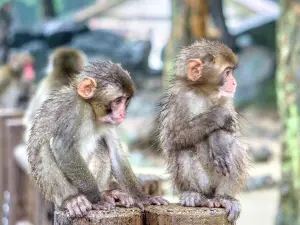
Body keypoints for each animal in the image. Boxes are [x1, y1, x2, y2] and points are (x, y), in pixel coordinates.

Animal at [27, 60, 169, 217]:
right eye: (118, 101)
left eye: (125, 101)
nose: (122, 114)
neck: (91, 110)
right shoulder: (74, 109)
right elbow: (62, 147)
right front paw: (96, 201)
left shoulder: (108, 122)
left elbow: (115, 153)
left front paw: (142, 197)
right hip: (54, 192)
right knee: (44, 149)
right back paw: (72, 199)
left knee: (102, 146)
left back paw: (106, 193)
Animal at [157, 39, 248, 222]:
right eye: (227, 72)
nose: (234, 82)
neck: (203, 92)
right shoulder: (180, 99)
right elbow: (172, 138)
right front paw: (218, 116)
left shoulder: (227, 99)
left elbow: (231, 132)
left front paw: (218, 142)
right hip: (203, 184)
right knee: (184, 150)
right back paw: (195, 195)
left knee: (235, 148)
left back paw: (225, 198)